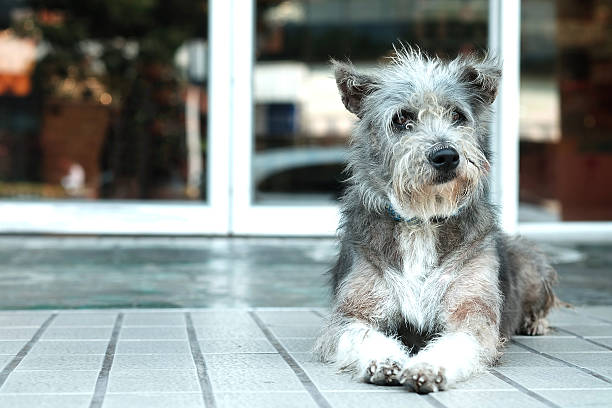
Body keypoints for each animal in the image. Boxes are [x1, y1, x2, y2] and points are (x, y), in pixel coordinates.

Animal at [314, 46, 556, 394]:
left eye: (458, 116)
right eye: (402, 119)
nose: (446, 156)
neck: (422, 221)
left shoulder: (471, 311)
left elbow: (457, 342)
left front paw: (428, 367)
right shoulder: (353, 312)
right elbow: (362, 334)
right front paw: (385, 360)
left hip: (529, 262)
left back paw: (535, 321)